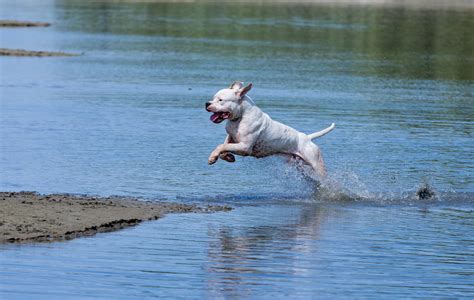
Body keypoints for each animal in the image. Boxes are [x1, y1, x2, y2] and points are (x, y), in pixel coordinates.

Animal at [206, 81, 336, 178]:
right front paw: (227, 157)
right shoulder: (231, 137)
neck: (240, 116)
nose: (207, 103)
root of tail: (307, 138)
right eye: (213, 98)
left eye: (221, 100)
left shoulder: (245, 147)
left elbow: (221, 146)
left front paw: (212, 157)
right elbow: (224, 146)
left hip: (316, 164)